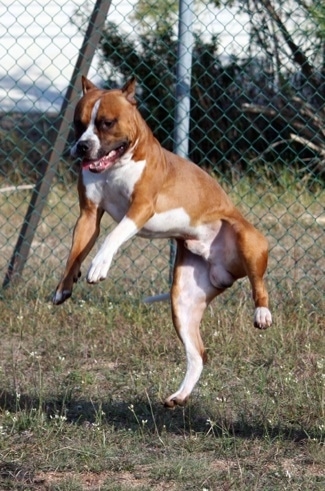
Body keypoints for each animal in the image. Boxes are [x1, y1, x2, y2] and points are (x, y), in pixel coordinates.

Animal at [53, 77, 270, 408]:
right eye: (78, 124)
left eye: (106, 123)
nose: (83, 146)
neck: (116, 166)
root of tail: (227, 272)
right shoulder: (88, 216)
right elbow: (75, 252)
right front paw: (64, 285)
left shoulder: (140, 208)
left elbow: (113, 235)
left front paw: (98, 266)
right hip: (183, 301)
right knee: (199, 354)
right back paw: (180, 396)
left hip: (247, 238)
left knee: (259, 283)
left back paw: (262, 313)